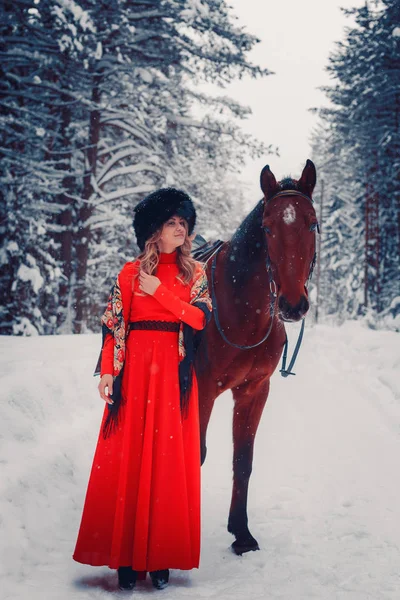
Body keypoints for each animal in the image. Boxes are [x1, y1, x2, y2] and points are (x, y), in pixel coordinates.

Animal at [195, 161, 318, 556]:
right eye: (267, 227)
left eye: (312, 222)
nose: (292, 305)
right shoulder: (203, 391)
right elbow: (195, 453)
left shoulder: (253, 392)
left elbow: (243, 461)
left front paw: (241, 533)